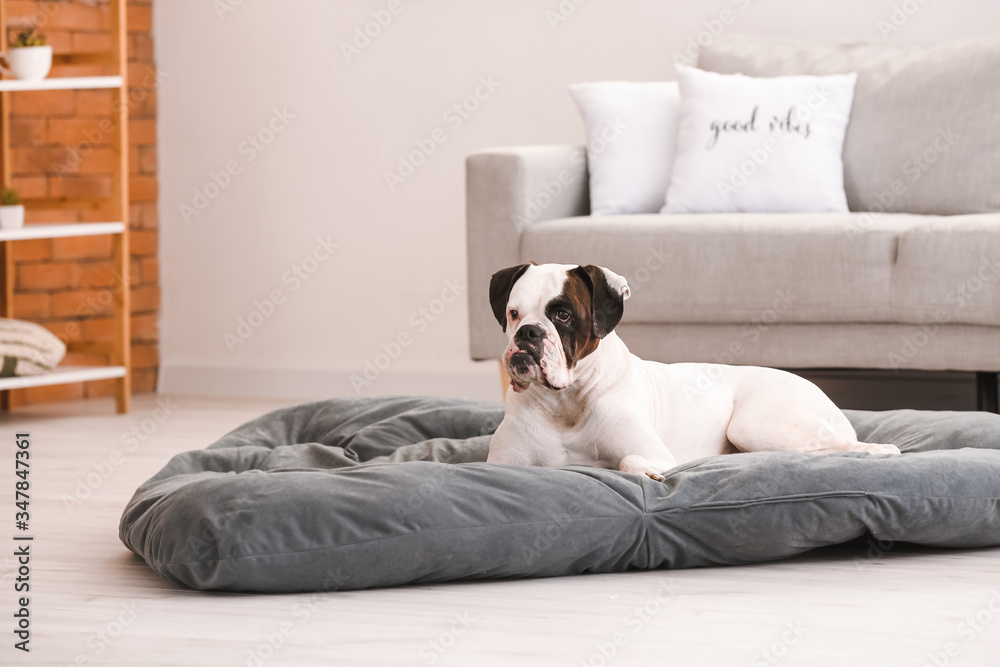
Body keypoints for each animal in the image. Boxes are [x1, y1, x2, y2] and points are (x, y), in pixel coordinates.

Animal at [488, 264, 904, 482]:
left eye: (562, 314)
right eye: (513, 313)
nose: (528, 333)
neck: (565, 403)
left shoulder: (654, 453)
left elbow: (628, 460)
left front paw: (648, 475)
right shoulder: (503, 465)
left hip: (756, 426)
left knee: (848, 449)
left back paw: (878, 450)